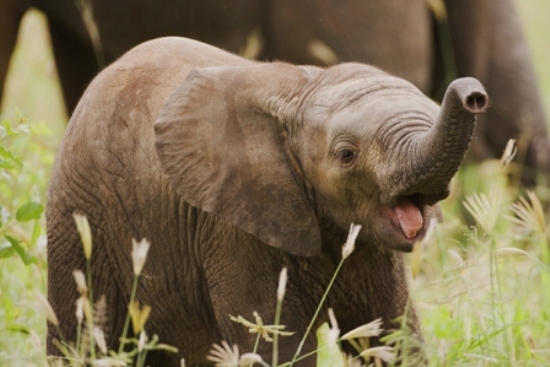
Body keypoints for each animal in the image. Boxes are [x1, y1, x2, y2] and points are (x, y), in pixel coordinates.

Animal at [45, 36, 490, 366]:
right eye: (347, 155)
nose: (474, 94)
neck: (304, 88)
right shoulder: (232, 230)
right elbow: (279, 346)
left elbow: (392, 337)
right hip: (79, 218)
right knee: (78, 336)